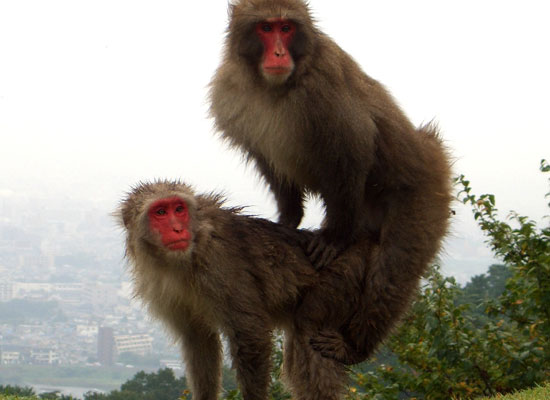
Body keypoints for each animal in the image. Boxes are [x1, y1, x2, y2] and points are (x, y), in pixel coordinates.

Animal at [117, 180, 354, 400]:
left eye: (178, 209)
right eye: (160, 212)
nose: (178, 229)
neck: (185, 257)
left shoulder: (219, 264)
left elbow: (250, 333)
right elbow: (199, 339)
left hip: (337, 283)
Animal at [209, 0, 454, 272]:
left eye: (286, 28)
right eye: (266, 28)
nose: (279, 54)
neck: (273, 86)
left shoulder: (323, 87)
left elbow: (351, 151)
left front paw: (335, 238)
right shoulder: (230, 93)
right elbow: (270, 165)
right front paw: (289, 217)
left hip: (424, 198)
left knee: (393, 260)